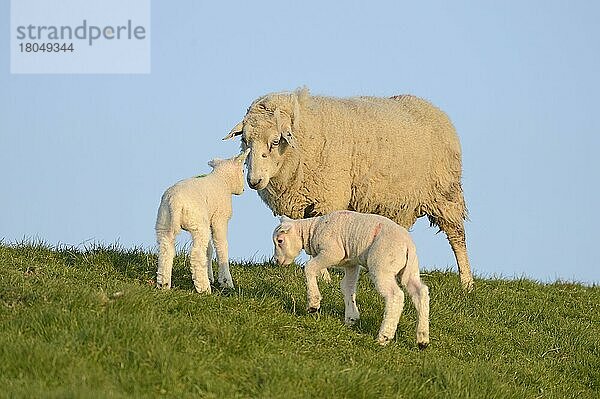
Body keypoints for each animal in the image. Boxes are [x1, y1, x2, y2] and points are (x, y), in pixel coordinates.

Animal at [156, 150, 250, 294]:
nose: (243, 189)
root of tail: (174, 202)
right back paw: (204, 288)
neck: (222, 179)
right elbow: (221, 246)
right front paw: (226, 282)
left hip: (164, 221)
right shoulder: (219, 219)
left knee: (165, 249)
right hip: (198, 223)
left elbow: (209, 248)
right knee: (196, 253)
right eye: (243, 170)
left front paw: (211, 276)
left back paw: (164, 284)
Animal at [225, 88, 474, 290]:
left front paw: (324, 277)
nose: (254, 181)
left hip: (445, 193)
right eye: (245, 140)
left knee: (457, 237)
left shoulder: (328, 199)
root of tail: (432, 107)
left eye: (276, 141)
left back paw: (467, 282)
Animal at [272, 211, 432, 348]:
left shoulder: (333, 252)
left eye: (280, 241)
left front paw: (313, 304)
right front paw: (351, 317)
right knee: (421, 292)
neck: (312, 230)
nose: (277, 261)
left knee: (395, 295)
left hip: (382, 265)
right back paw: (422, 338)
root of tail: (407, 245)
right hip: (410, 270)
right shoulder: (351, 263)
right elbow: (347, 287)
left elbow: (309, 267)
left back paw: (384, 336)